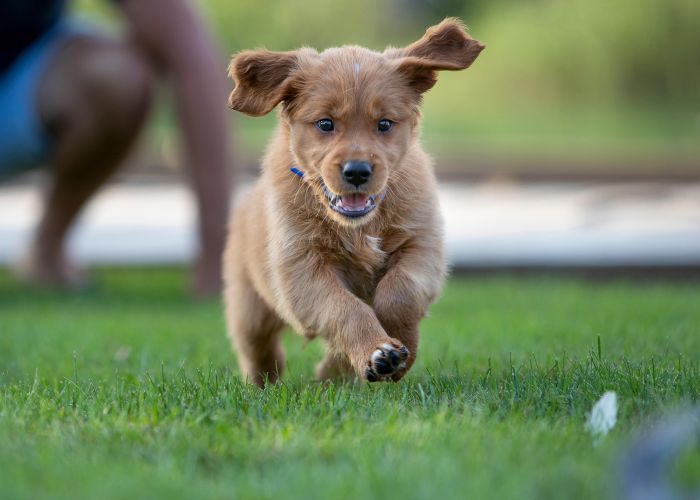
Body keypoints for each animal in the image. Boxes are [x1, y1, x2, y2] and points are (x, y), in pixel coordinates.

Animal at [223, 18, 482, 386]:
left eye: (384, 123)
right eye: (325, 123)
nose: (357, 171)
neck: (360, 226)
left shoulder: (422, 246)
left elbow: (399, 294)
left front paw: (396, 351)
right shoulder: (301, 269)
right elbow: (345, 309)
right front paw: (377, 351)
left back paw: (335, 374)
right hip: (249, 305)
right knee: (258, 349)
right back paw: (264, 385)